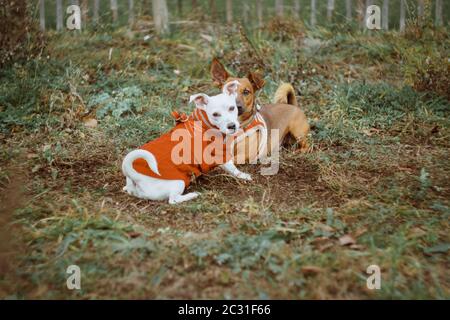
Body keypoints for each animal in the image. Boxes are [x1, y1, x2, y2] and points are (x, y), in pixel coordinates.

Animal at [121, 81, 251, 204]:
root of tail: (135, 177)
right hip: (179, 182)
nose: (232, 126)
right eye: (215, 114)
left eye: (232, 108)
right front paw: (243, 175)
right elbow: (232, 168)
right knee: (173, 200)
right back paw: (193, 195)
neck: (204, 125)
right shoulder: (218, 155)